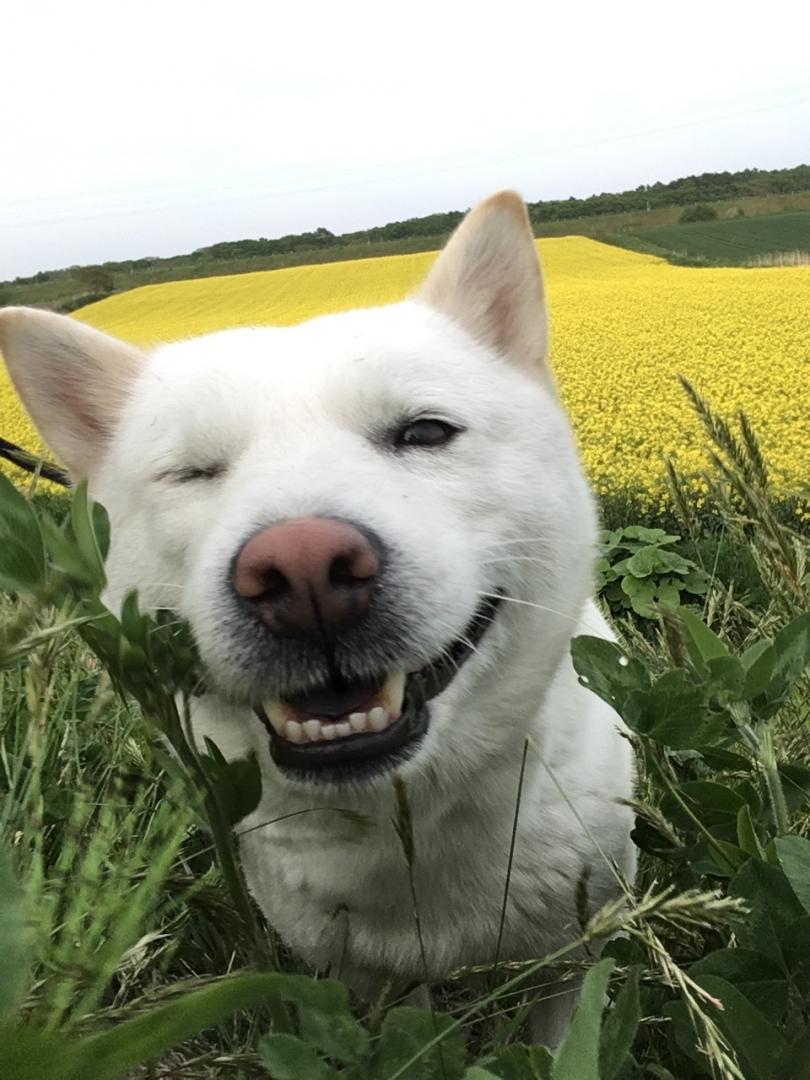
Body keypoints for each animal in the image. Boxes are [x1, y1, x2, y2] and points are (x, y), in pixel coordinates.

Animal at [0, 194, 635, 1045]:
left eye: (424, 431)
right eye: (192, 473)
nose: (302, 571)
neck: (409, 825)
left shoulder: (579, 941)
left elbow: (565, 1029)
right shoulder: (364, 975)